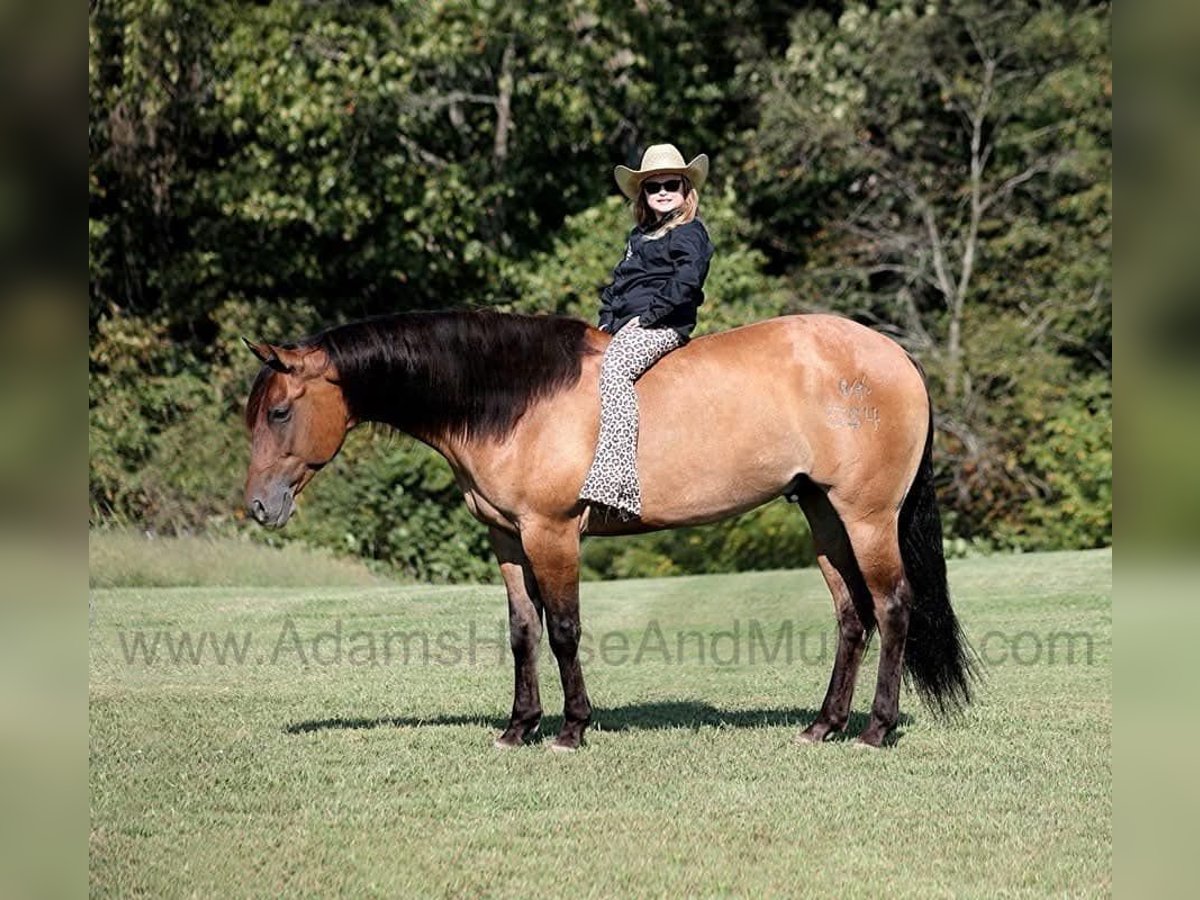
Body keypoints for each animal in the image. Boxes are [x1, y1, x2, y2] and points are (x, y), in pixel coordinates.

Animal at [243, 314, 974, 748]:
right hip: (822, 514)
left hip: (867, 517)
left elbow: (564, 630)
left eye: (278, 411)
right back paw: (823, 725)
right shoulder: (507, 540)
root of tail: (897, 356)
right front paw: (518, 727)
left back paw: (875, 730)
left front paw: (571, 729)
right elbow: (523, 633)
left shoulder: (553, 534)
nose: (257, 507)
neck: (517, 398)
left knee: (893, 607)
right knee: (853, 615)